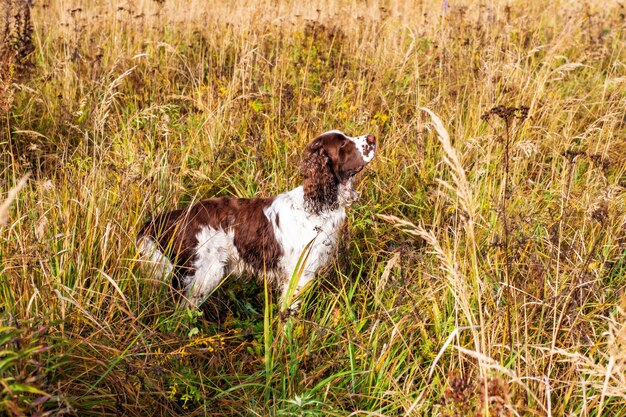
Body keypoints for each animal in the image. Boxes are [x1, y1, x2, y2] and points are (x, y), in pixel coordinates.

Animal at [136, 130, 376, 308]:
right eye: (343, 144)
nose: (372, 138)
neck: (316, 205)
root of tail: (177, 214)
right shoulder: (299, 272)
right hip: (203, 274)